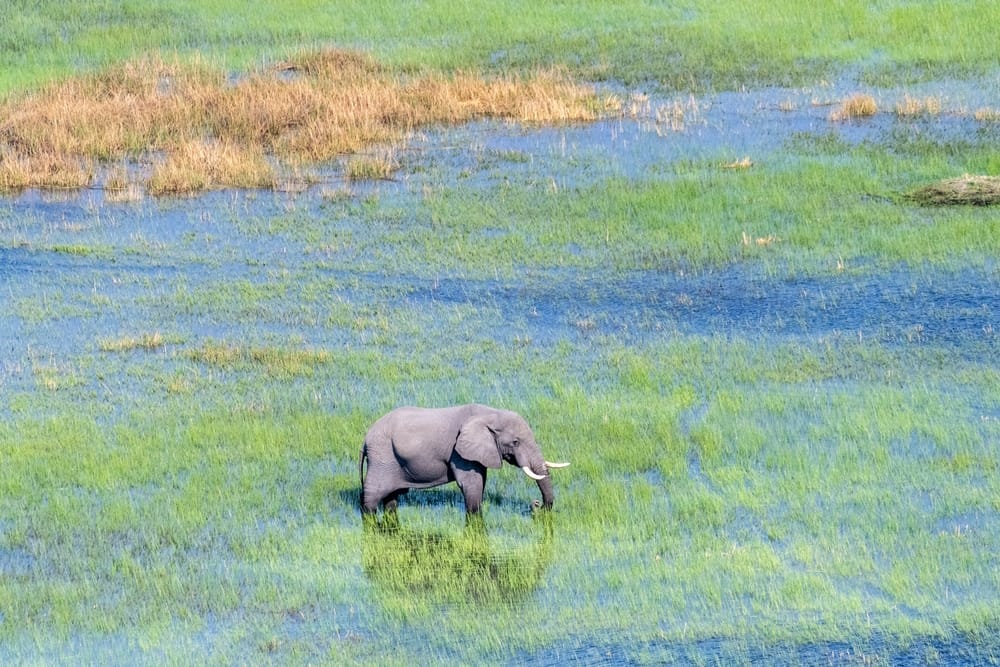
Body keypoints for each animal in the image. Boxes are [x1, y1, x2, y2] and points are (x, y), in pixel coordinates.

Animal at [359, 404, 568, 523]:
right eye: (515, 442)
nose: (535, 506)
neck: (490, 414)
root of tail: (365, 439)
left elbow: (481, 480)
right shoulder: (458, 452)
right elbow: (471, 483)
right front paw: (475, 516)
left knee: (391, 498)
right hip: (382, 456)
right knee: (373, 494)